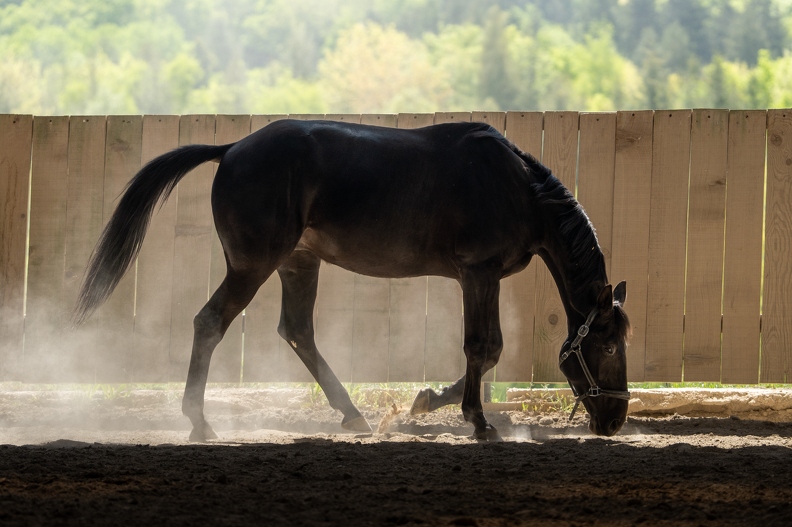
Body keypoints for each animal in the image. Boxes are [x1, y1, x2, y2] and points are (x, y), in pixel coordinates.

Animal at [73, 119, 631, 442]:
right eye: (606, 347)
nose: (614, 421)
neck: (514, 186)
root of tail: (231, 149)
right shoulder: (479, 272)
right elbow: (484, 348)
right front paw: (476, 420)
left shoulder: (478, 276)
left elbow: (484, 353)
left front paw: (426, 402)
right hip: (253, 265)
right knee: (210, 322)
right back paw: (200, 422)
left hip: (298, 262)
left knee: (298, 331)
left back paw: (352, 415)